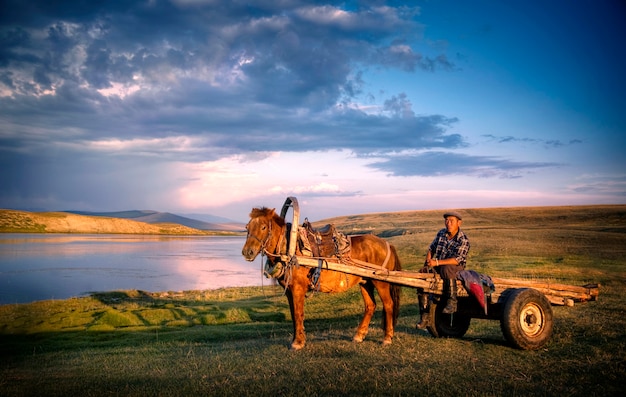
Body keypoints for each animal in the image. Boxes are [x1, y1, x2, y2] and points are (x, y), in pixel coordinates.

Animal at [239, 206, 400, 348]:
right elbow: (293, 315)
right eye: (247, 227)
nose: (247, 252)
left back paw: (387, 338)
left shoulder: (298, 289)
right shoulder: (289, 291)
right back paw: (359, 335)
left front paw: (298, 342)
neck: (290, 249)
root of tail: (387, 243)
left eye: (263, 227)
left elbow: (298, 313)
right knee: (370, 306)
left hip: (380, 282)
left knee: (388, 305)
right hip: (365, 282)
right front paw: (296, 339)